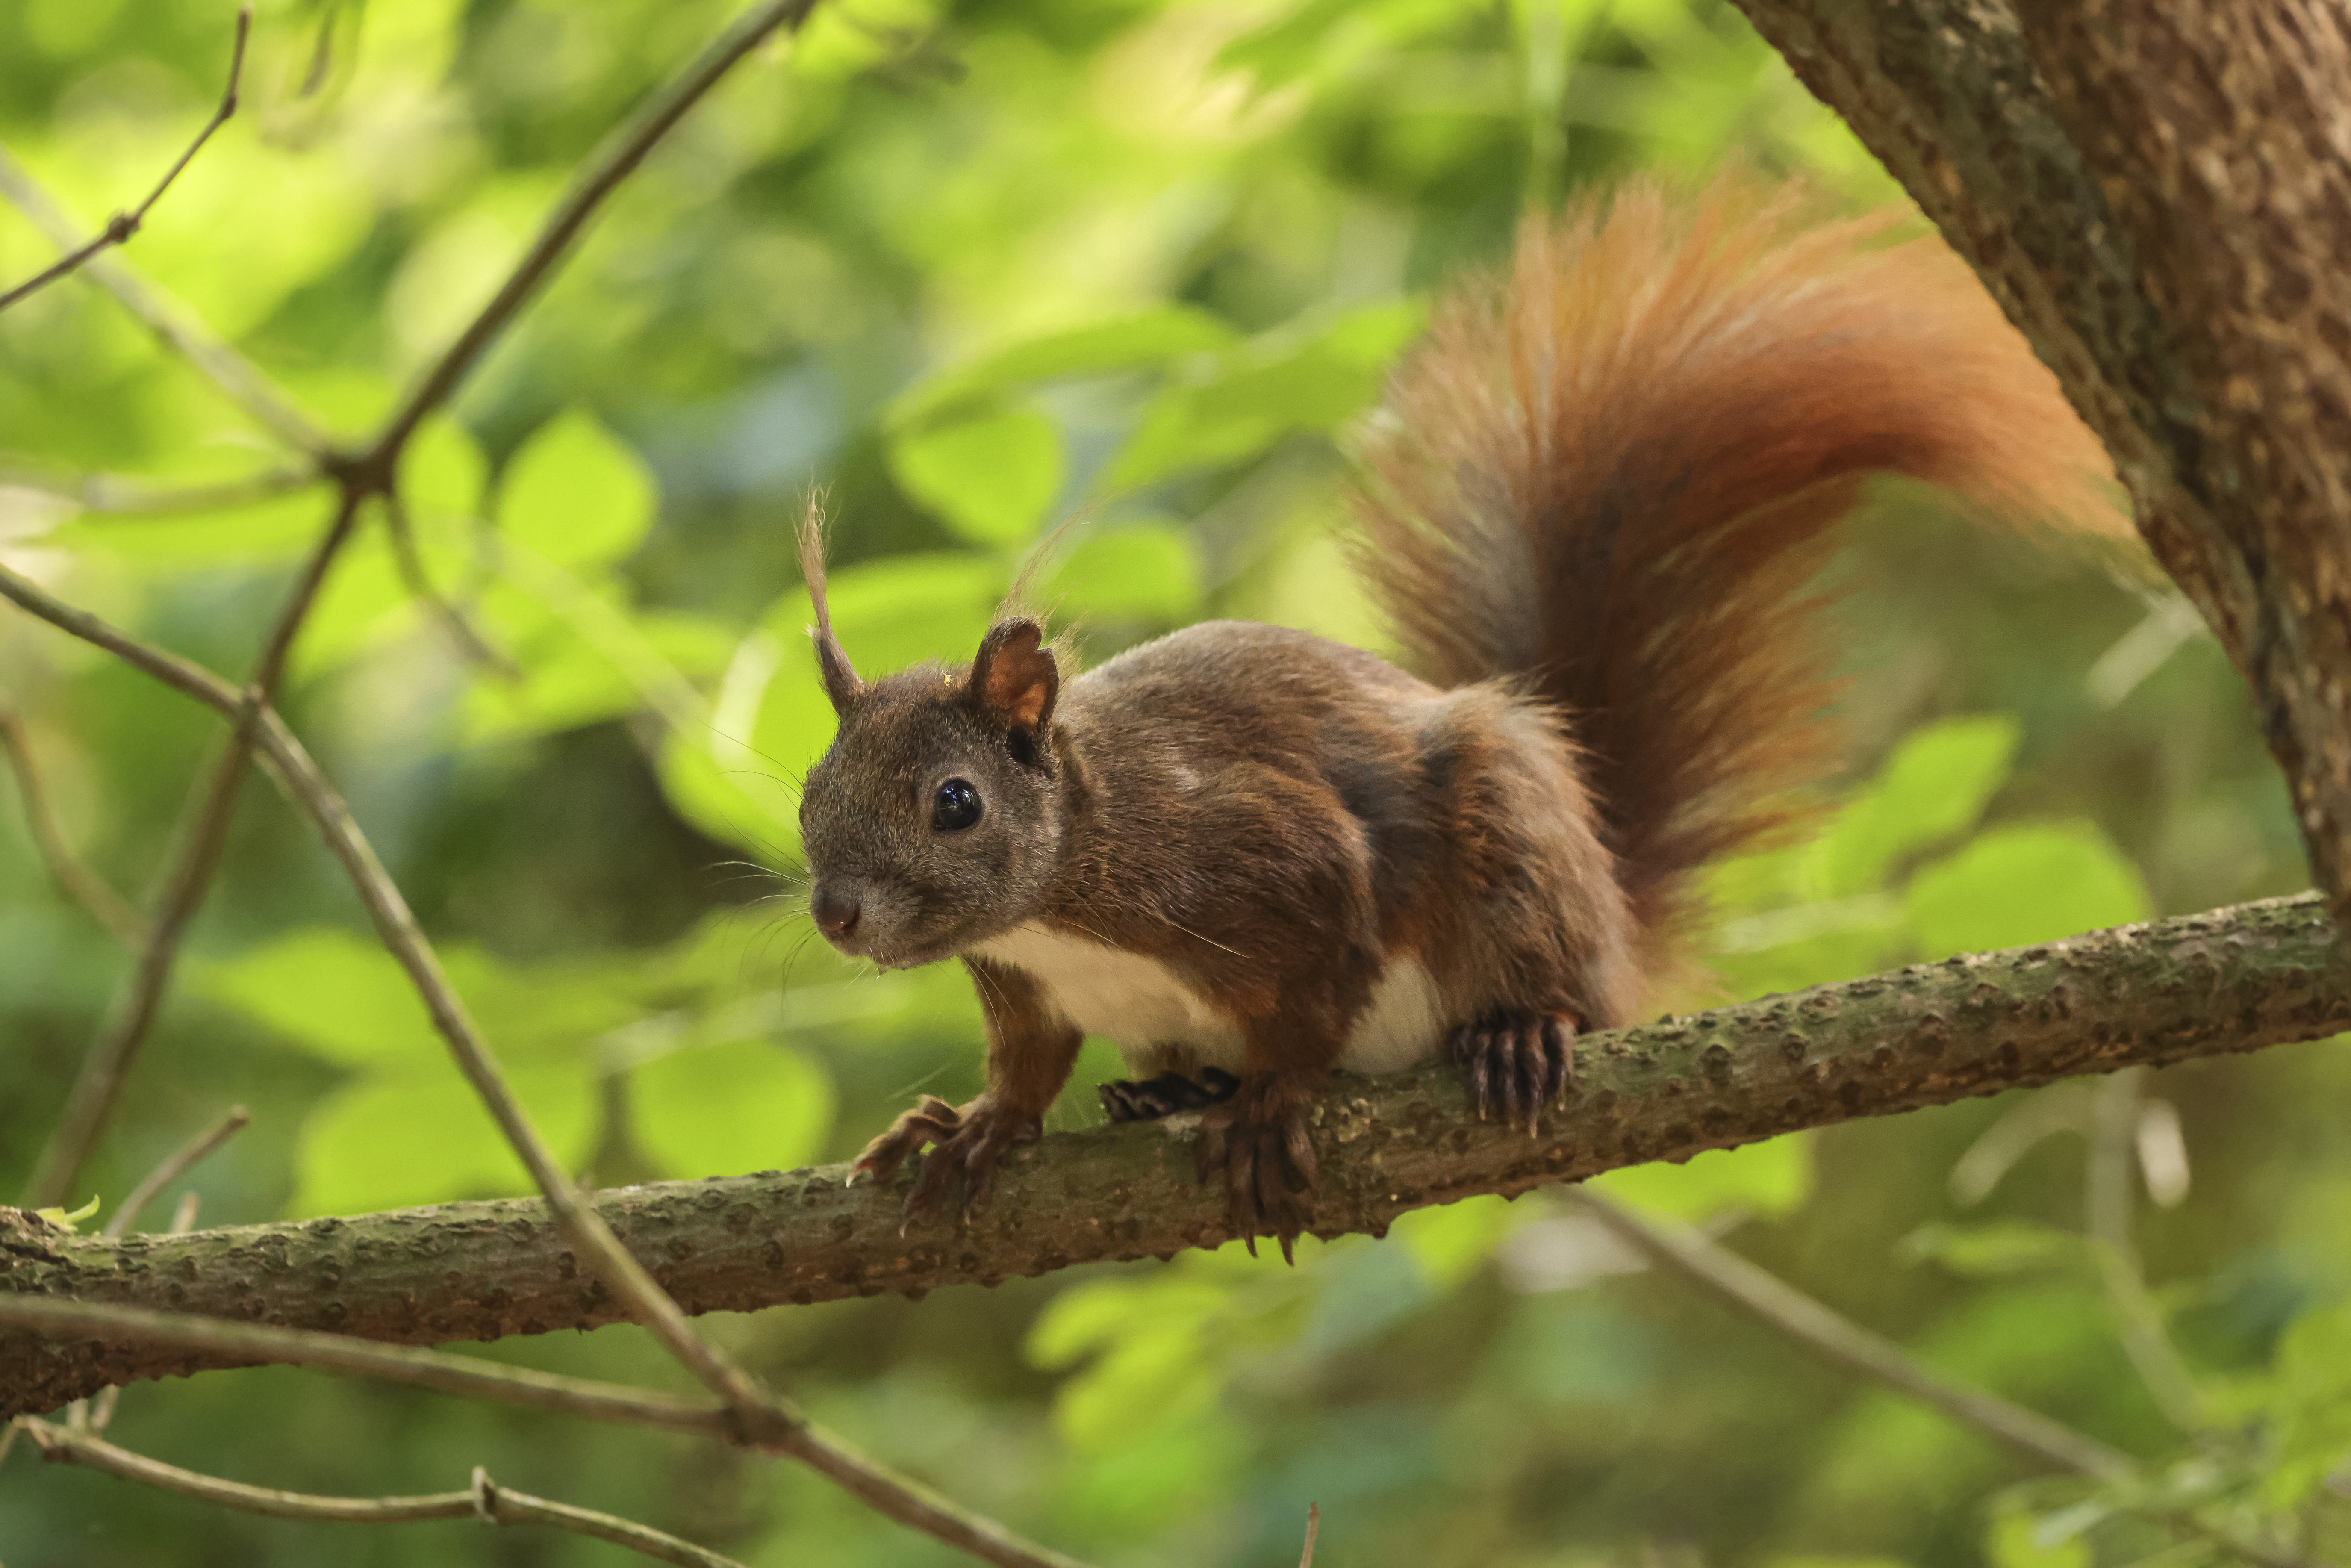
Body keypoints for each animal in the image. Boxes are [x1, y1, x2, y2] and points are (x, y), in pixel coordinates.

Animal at [794, 177, 2117, 1259]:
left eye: (955, 802)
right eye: (809, 793)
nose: (836, 915)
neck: (1069, 888)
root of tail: (1614, 926)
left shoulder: (1265, 859)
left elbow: (1318, 984)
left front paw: (1273, 1101)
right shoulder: (1021, 986)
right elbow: (1026, 1071)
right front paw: (974, 1128)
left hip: (1509, 845)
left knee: (1549, 978)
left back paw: (1512, 1035)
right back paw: (1165, 1095)